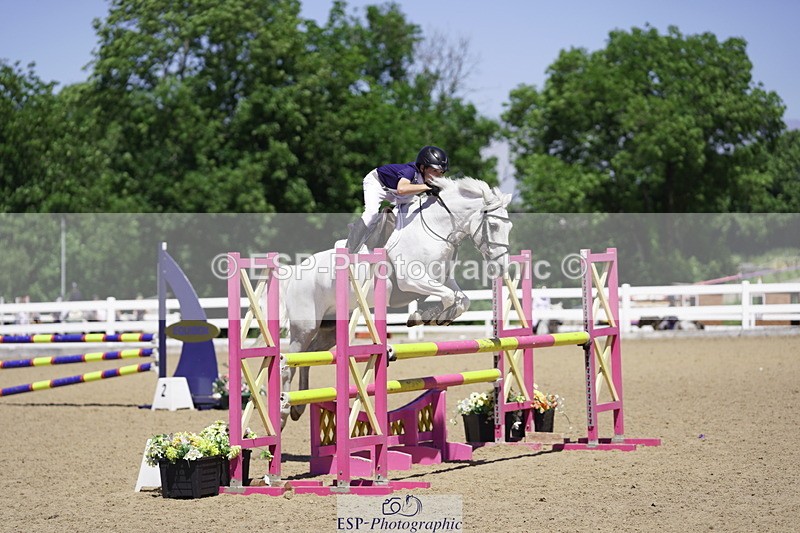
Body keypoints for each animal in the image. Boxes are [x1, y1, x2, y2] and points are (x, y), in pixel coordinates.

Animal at [278, 177, 513, 424]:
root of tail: (296, 271)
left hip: (330, 329)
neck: (436, 229)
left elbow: (461, 300)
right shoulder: (412, 280)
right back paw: (284, 411)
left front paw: (434, 317)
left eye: (509, 227)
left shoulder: (444, 280)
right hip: (305, 327)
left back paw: (298, 407)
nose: (502, 267)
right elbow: (449, 297)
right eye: (494, 226)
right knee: (290, 363)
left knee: (309, 357)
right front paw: (422, 316)